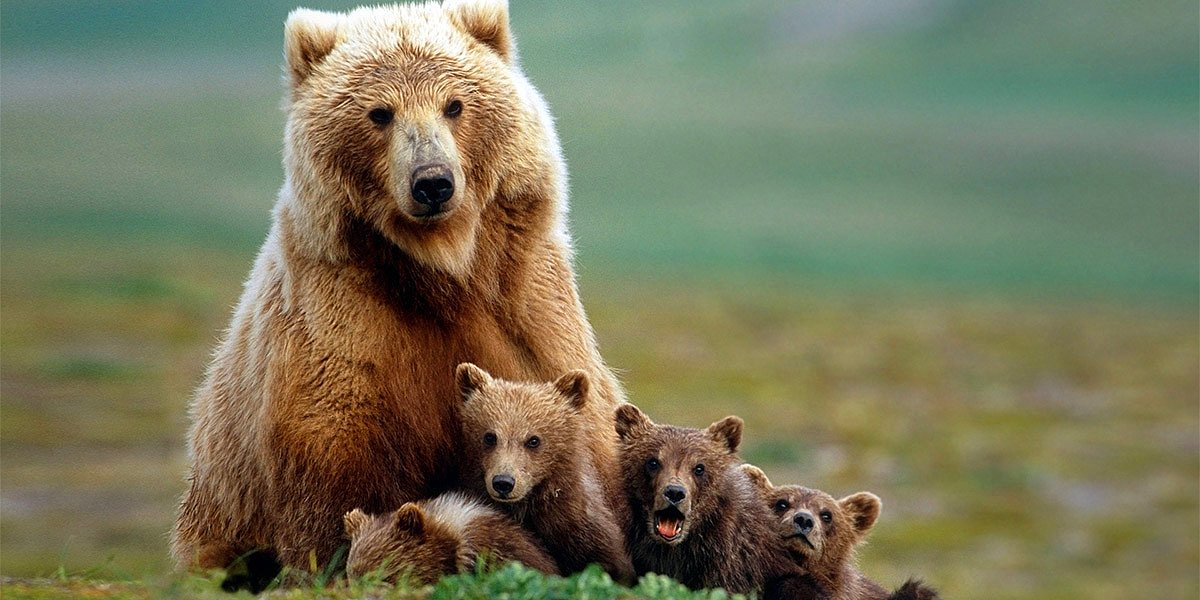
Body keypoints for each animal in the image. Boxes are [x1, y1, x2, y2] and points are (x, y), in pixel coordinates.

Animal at [174, 0, 624, 580]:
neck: (443, 271)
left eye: (455, 105)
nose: (432, 182)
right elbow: (338, 477)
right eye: (380, 113)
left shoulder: (529, 312)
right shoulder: (345, 329)